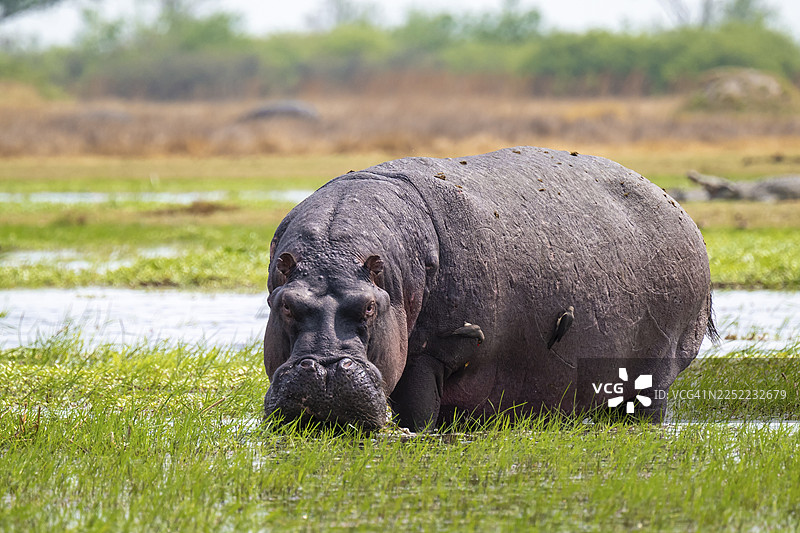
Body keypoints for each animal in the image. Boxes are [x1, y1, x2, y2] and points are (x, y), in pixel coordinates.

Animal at [263, 147, 715, 432]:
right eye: (285, 305)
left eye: (370, 308)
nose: (326, 369)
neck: (334, 253)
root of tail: (677, 207)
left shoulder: (431, 354)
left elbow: (418, 416)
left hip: (655, 371)